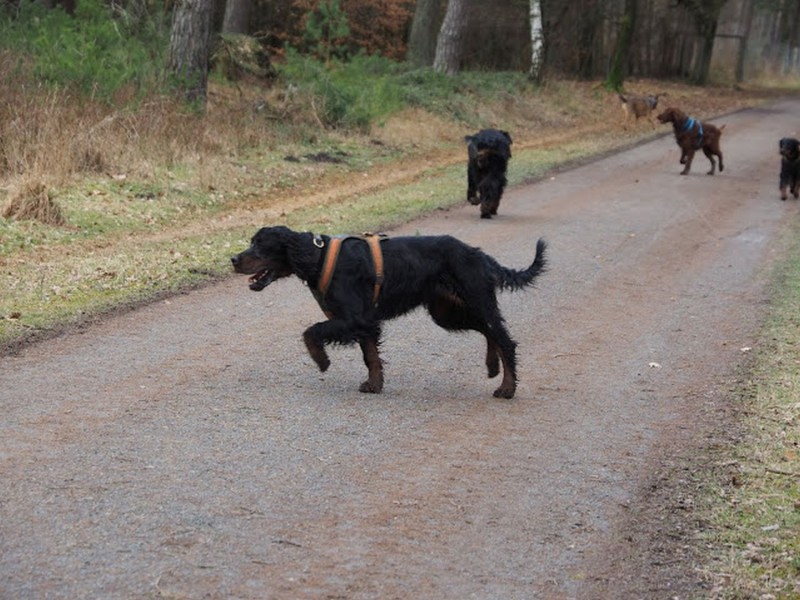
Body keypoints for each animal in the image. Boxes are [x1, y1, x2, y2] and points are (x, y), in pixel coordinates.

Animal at [231, 226, 547, 399]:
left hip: (475, 301)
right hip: (447, 312)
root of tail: (478, 254)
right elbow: (370, 355)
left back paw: (507, 388)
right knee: (489, 333)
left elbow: (311, 331)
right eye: (251, 241)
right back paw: (492, 366)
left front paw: (322, 361)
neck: (317, 256)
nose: (233, 259)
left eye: (261, 244)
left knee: (505, 340)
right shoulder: (363, 322)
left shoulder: (354, 318)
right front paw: (374, 383)